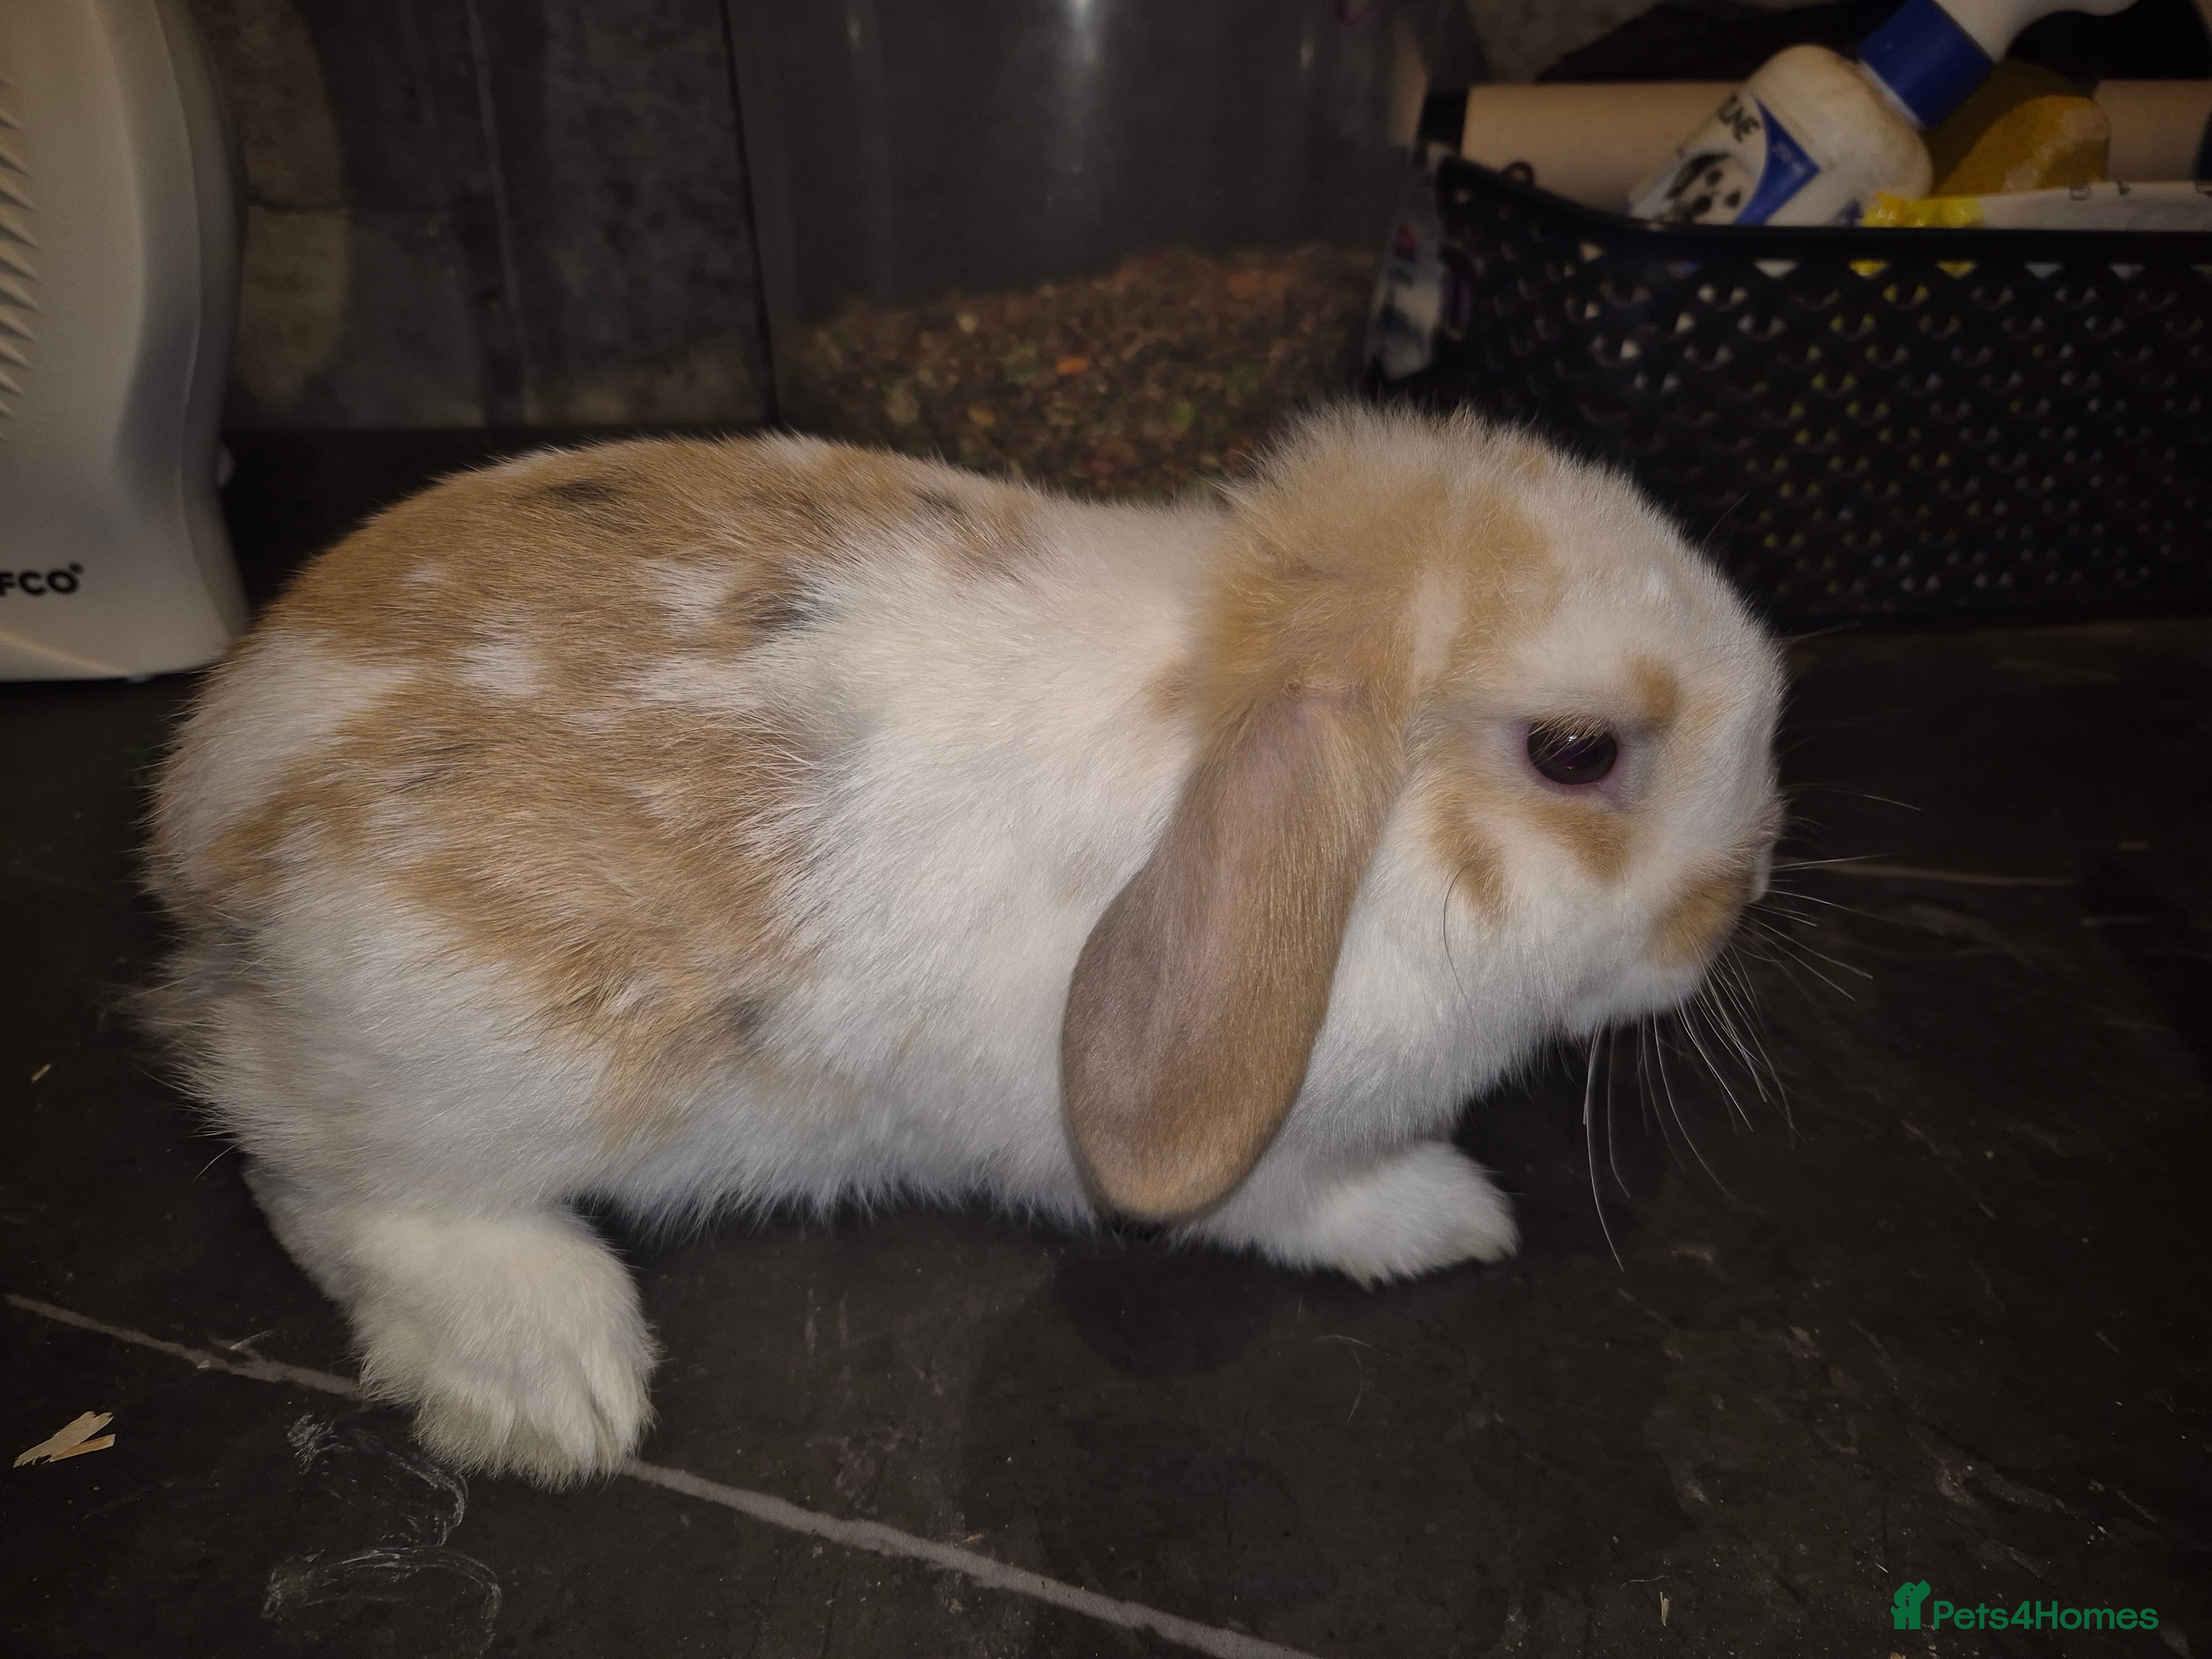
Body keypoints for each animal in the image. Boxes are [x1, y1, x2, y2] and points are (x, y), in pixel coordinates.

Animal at [145, 404, 1784, 1485]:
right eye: (1576, 753)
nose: (1738, 897)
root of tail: (203, 804)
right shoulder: (1272, 1148)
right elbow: (1303, 1201)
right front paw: (1449, 1217)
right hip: (447, 1065)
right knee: (309, 1171)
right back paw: (554, 1381)